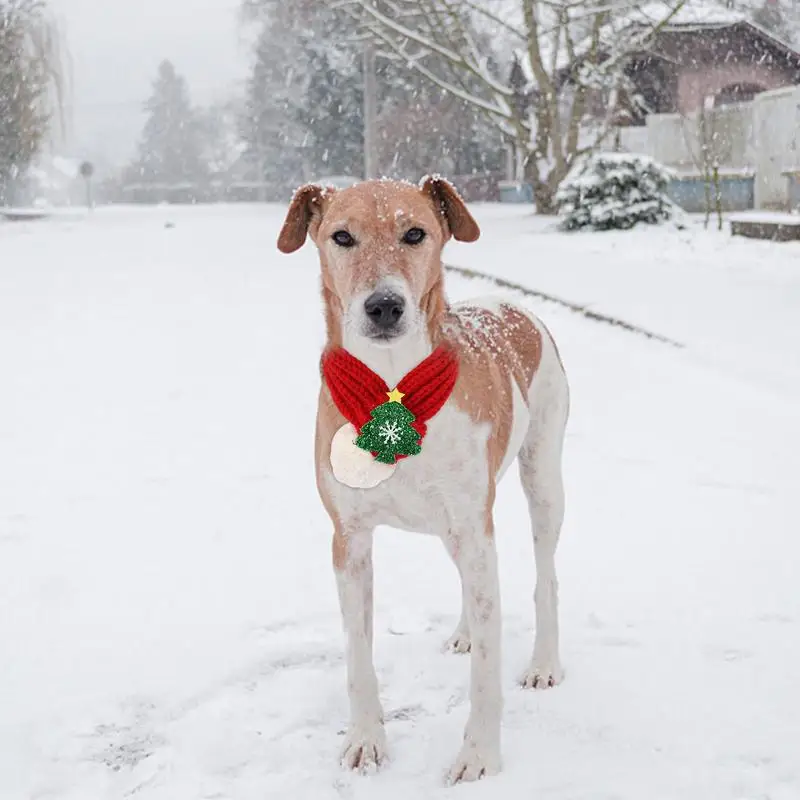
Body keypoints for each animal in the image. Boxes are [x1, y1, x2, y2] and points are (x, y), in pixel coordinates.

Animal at [278, 178, 572, 784]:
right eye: (341, 237)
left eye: (415, 233)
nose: (384, 305)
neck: (393, 392)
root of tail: (509, 305)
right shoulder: (349, 541)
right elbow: (358, 656)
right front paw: (366, 740)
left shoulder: (476, 530)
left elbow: (486, 671)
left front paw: (479, 755)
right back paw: (465, 630)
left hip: (543, 478)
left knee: (546, 576)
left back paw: (543, 662)